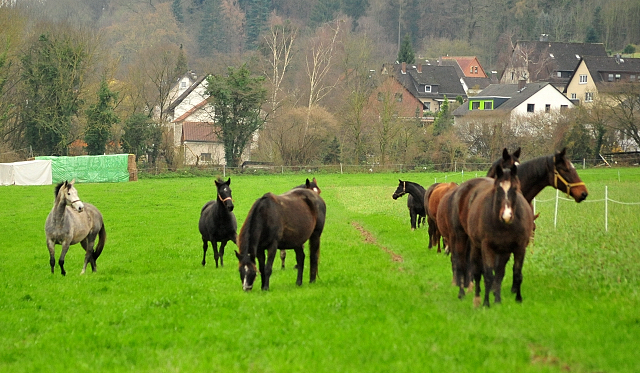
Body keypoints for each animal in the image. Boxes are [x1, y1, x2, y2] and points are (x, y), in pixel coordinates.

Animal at [464, 164, 536, 306]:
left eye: (515, 188)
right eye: (498, 189)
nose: (506, 216)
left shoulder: (520, 248)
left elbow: (516, 273)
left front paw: (518, 299)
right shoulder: (487, 247)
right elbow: (487, 275)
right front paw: (486, 303)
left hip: (503, 252)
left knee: (499, 273)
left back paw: (497, 299)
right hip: (476, 248)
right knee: (477, 272)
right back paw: (477, 299)